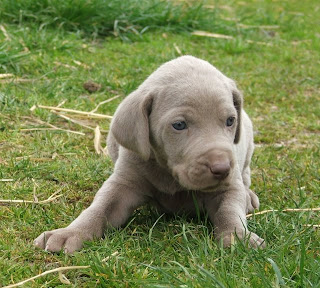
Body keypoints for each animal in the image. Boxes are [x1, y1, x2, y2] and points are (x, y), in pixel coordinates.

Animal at [34, 55, 264, 252]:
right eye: (179, 125)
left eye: (230, 121)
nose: (222, 169)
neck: (169, 172)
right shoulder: (123, 183)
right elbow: (99, 208)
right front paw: (70, 232)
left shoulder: (228, 187)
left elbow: (230, 211)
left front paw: (239, 237)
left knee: (245, 174)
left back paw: (249, 196)